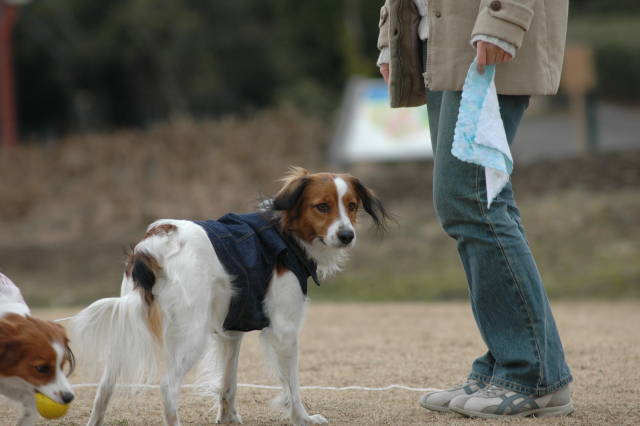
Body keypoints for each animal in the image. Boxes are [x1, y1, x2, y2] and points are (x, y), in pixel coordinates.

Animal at [70, 167, 390, 426]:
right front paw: (303, 418)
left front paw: (228, 418)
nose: (347, 235)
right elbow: (292, 386)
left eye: (351, 206)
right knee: (168, 387)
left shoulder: (231, 330)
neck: (285, 233)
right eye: (322, 206)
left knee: (103, 389)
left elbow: (228, 383)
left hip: (130, 331)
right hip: (192, 335)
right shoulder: (285, 330)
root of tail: (154, 244)